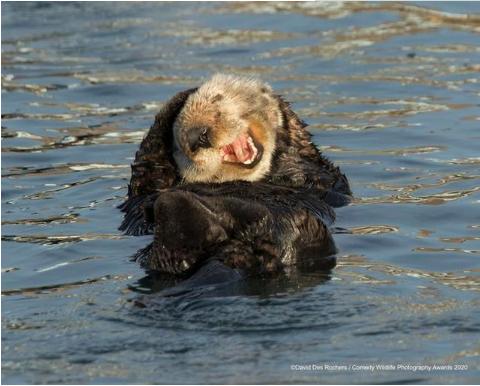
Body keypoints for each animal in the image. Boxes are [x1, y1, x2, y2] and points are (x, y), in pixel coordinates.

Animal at [118, 73, 350, 290]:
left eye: (217, 101)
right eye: (179, 147)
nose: (198, 136)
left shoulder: (324, 177)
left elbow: (306, 168)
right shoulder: (147, 186)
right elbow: (147, 169)